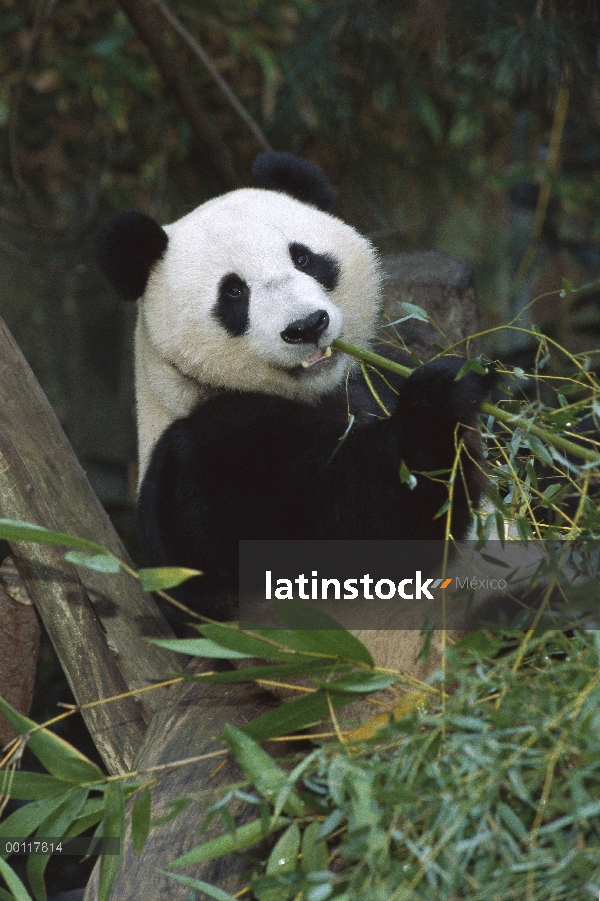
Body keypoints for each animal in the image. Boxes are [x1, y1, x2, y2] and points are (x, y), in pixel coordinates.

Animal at [91, 153, 512, 676]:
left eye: (304, 258)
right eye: (234, 292)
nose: (306, 326)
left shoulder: (370, 375)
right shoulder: (209, 462)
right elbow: (366, 527)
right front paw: (442, 400)